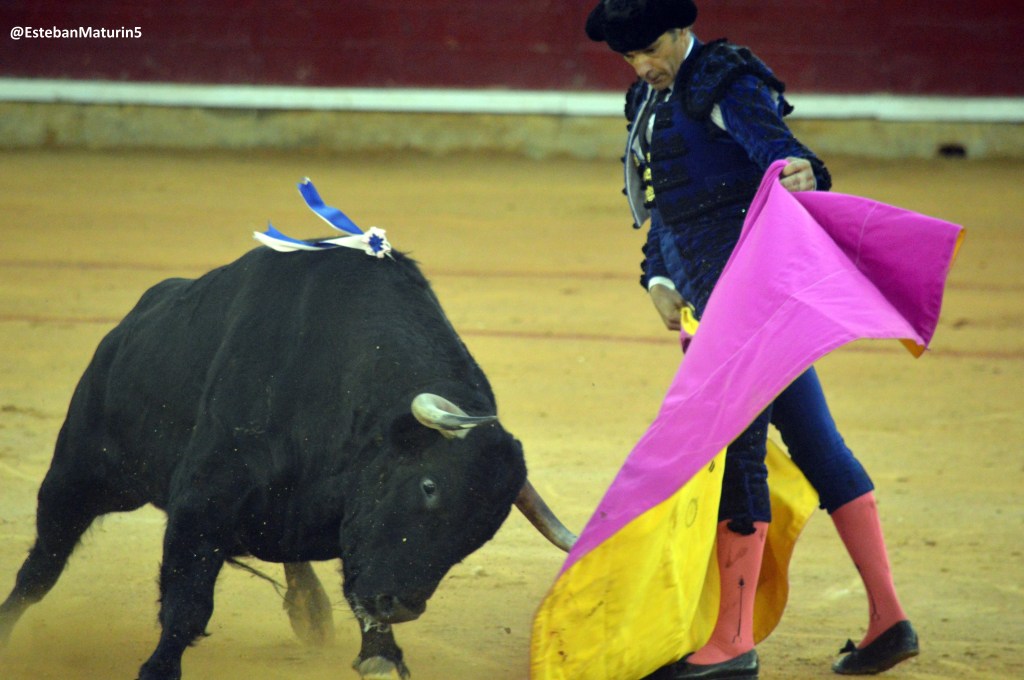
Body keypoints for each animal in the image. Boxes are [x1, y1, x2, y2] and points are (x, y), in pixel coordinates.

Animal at [0, 225, 576, 679]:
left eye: (485, 529)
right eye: (430, 485)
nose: (401, 606)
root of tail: (127, 326)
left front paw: (380, 651)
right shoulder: (201, 504)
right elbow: (186, 604)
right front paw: (158, 668)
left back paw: (311, 613)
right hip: (80, 473)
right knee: (41, 565)